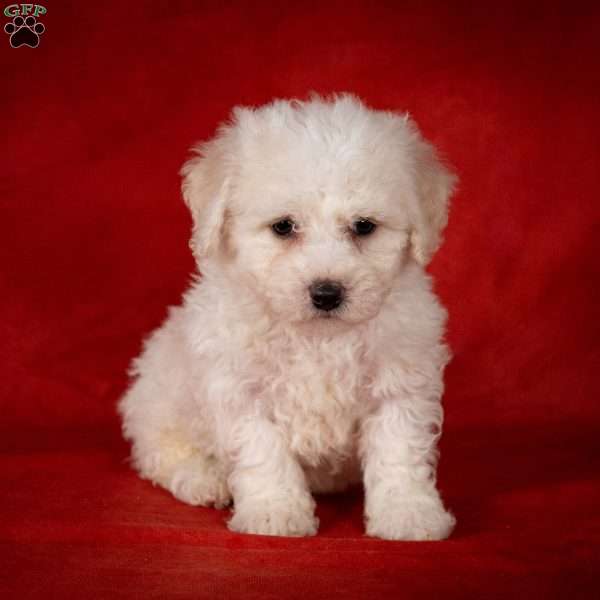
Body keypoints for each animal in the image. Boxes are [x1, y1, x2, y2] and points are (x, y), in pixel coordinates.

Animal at [117, 94, 458, 540]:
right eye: (283, 227)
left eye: (364, 226)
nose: (327, 293)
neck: (319, 336)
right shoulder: (241, 387)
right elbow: (263, 452)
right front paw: (273, 512)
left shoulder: (399, 382)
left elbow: (400, 452)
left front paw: (409, 513)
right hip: (160, 403)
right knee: (160, 453)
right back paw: (204, 480)